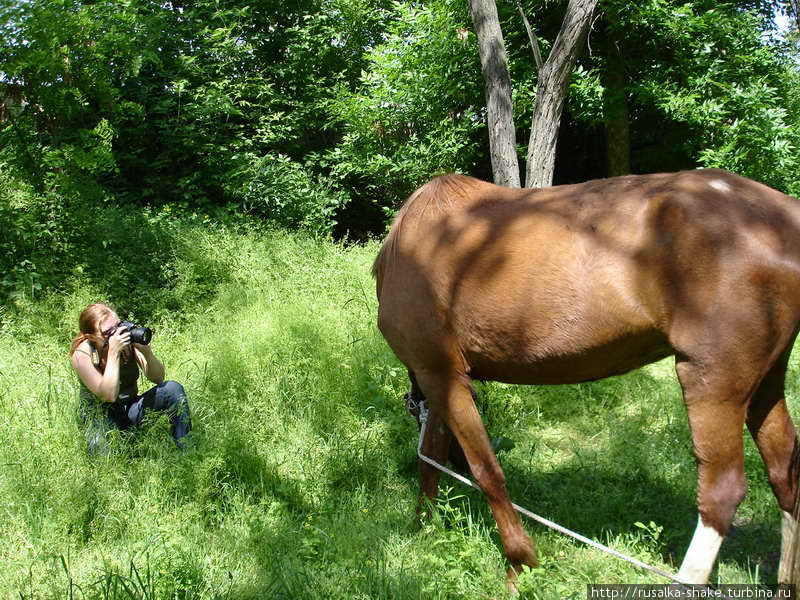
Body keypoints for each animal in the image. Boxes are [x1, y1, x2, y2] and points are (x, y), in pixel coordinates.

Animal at [372, 169, 800, 584]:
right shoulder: (439, 378)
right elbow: (432, 456)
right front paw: (424, 528)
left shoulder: (439, 373)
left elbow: (485, 470)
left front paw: (520, 563)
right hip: (765, 382)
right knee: (785, 476)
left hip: (713, 380)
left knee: (721, 493)